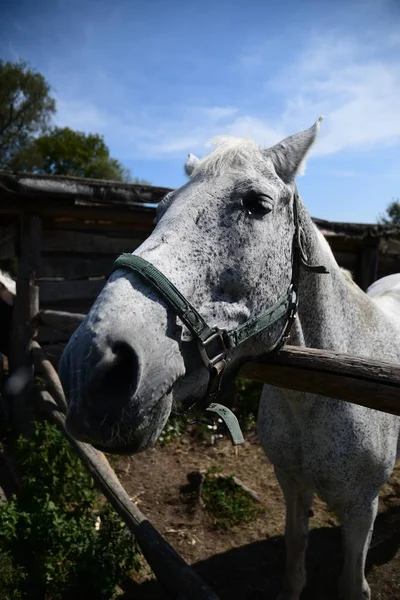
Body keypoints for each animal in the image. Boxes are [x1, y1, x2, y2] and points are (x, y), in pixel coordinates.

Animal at [58, 119, 400, 596]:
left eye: (258, 204)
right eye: (159, 210)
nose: (91, 367)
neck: (318, 399)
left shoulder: (361, 509)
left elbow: (353, 585)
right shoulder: (292, 484)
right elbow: (294, 566)